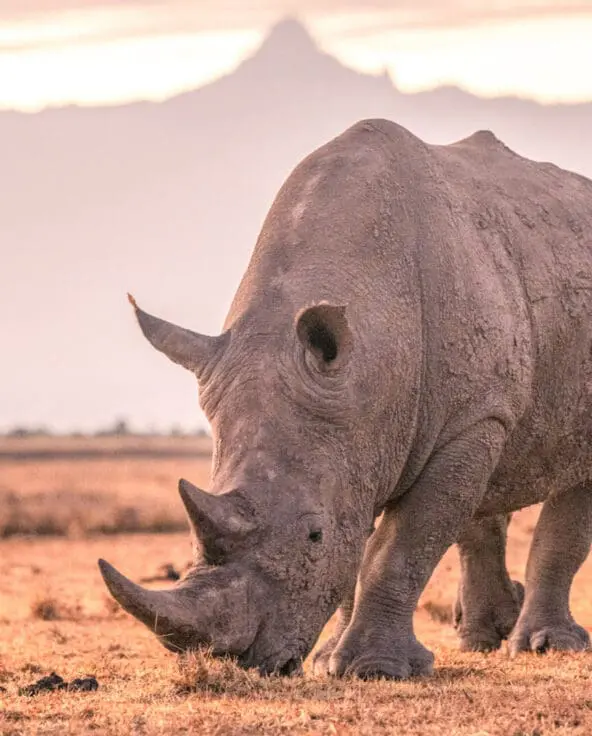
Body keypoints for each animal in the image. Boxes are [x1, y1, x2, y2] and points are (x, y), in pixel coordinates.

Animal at [99, 119, 592, 679]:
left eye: (314, 536)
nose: (240, 661)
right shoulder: (359, 427)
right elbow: (362, 543)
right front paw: (329, 661)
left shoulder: (466, 420)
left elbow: (401, 544)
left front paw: (374, 670)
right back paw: (483, 640)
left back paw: (545, 647)